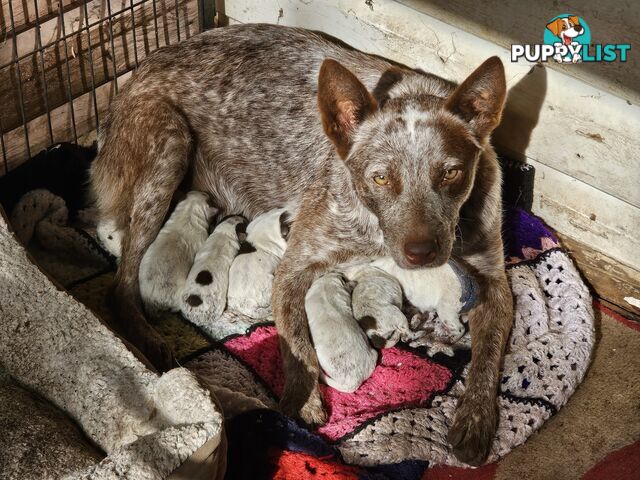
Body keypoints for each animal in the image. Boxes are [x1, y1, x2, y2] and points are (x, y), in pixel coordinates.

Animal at [90, 23, 512, 464]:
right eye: (380, 177)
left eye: (451, 173)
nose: (422, 253)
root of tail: (134, 76)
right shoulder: (295, 265)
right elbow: (295, 344)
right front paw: (305, 399)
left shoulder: (494, 282)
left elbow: (487, 357)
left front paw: (476, 421)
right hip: (169, 145)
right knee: (120, 286)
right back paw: (146, 341)